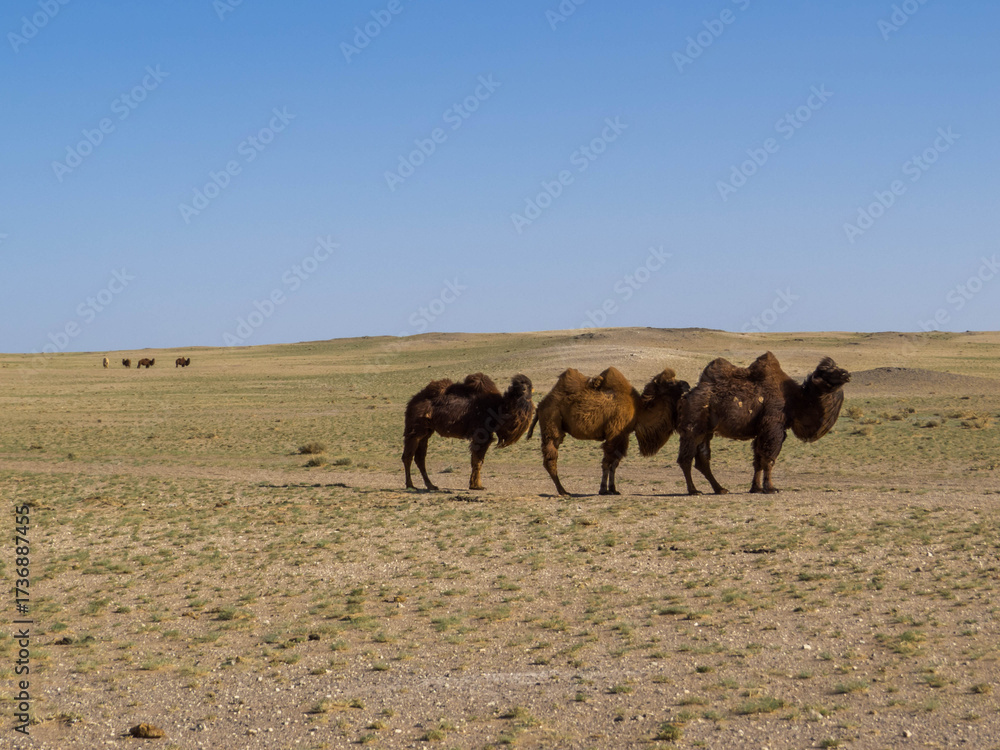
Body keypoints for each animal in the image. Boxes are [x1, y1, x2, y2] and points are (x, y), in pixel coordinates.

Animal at [403, 373, 534, 491]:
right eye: (516, 387)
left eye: (528, 386)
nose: (522, 390)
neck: (499, 408)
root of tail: (411, 402)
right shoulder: (481, 434)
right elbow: (477, 461)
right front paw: (477, 486)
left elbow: (477, 460)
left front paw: (475, 485)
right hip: (415, 429)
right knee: (408, 457)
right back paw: (411, 486)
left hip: (426, 432)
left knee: (420, 458)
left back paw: (431, 486)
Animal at [528, 367, 690, 496]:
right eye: (670, 382)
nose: (687, 385)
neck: (638, 411)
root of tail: (540, 406)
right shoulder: (614, 434)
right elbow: (607, 462)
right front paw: (603, 490)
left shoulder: (623, 436)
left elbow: (614, 463)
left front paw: (613, 489)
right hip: (552, 422)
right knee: (551, 457)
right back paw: (563, 491)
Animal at [676, 352, 850, 495]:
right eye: (827, 371)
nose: (846, 374)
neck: (796, 400)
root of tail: (686, 396)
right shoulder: (773, 426)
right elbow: (769, 459)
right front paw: (771, 488)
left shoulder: (761, 430)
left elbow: (758, 461)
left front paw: (756, 488)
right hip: (693, 427)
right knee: (686, 458)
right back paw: (694, 491)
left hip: (706, 431)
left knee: (702, 460)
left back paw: (720, 489)